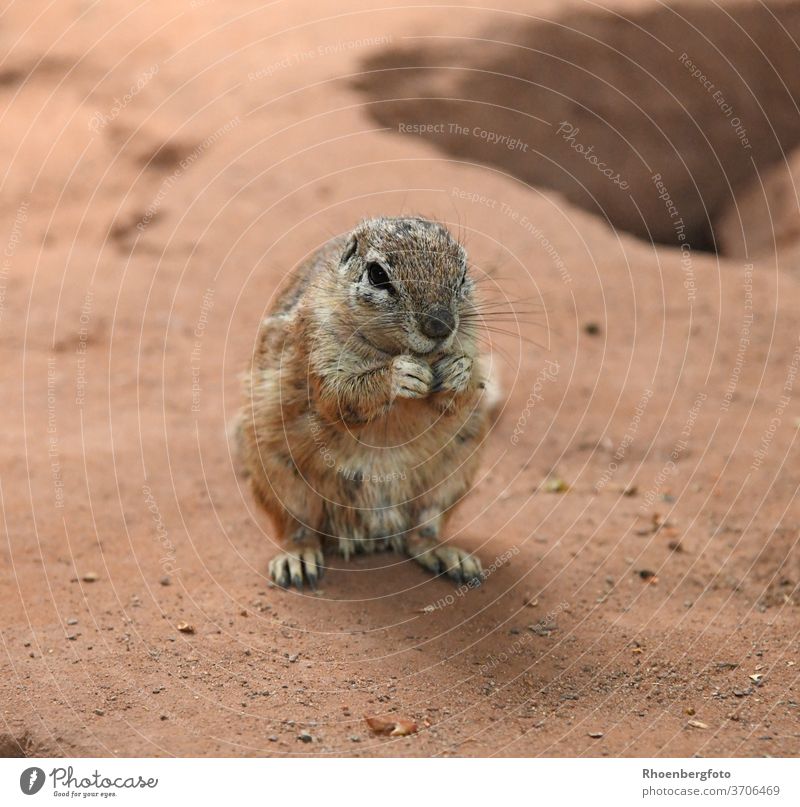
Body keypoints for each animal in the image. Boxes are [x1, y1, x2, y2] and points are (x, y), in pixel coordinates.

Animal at [236, 218, 494, 592]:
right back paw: (297, 559)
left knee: (420, 534)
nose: (440, 325)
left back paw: (448, 556)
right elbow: (341, 397)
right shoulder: (318, 345)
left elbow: (464, 391)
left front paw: (458, 371)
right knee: (298, 530)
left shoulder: (469, 340)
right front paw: (399, 375)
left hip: (449, 477)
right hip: (281, 479)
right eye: (377, 275)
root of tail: (371, 534)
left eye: (462, 273)